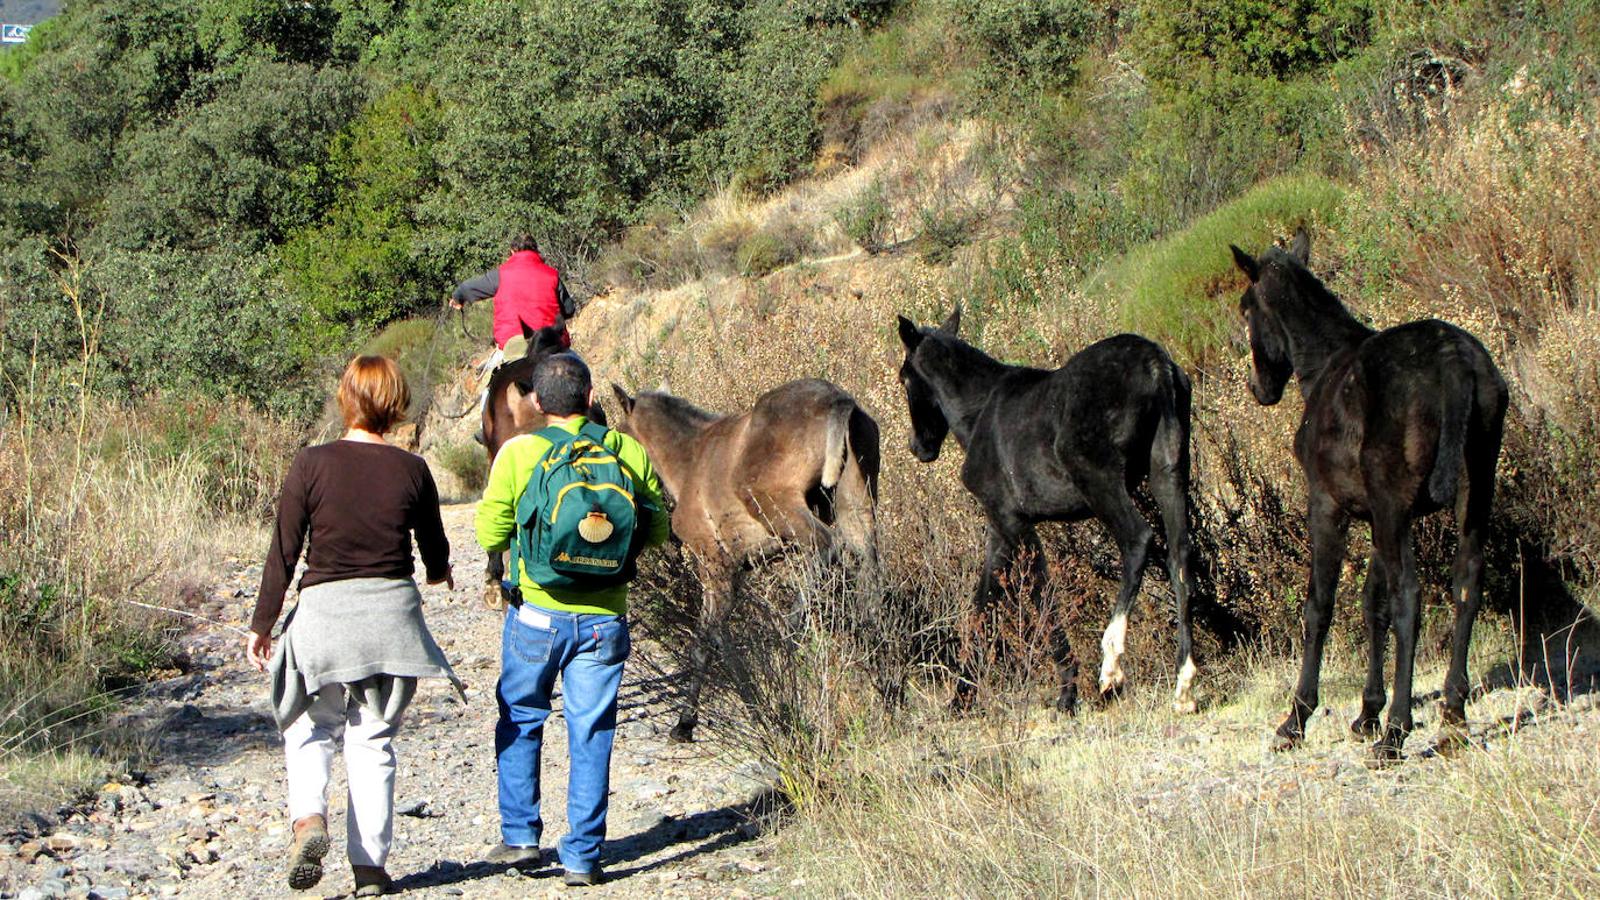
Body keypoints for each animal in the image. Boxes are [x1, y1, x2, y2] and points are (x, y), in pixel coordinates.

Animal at [608, 374, 883, 739]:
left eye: (617, 437)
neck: (689, 459)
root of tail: (839, 400)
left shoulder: (714, 564)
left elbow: (711, 638)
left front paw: (751, 710)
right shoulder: (738, 569)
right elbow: (708, 638)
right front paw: (691, 719)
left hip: (777, 502)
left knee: (826, 544)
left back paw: (790, 628)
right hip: (858, 505)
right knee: (869, 574)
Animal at [1228, 225, 1504, 755]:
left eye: (1245, 309)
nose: (1258, 387)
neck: (1326, 368)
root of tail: (1454, 362)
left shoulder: (1329, 506)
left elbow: (1321, 606)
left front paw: (1297, 717)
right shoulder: (1378, 515)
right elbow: (1371, 604)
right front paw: (1366, 712)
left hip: (1397, 507)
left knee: (1410, 597)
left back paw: (1397, 731)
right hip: (1474, 488)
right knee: (1466, 583)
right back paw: (1453, 715)